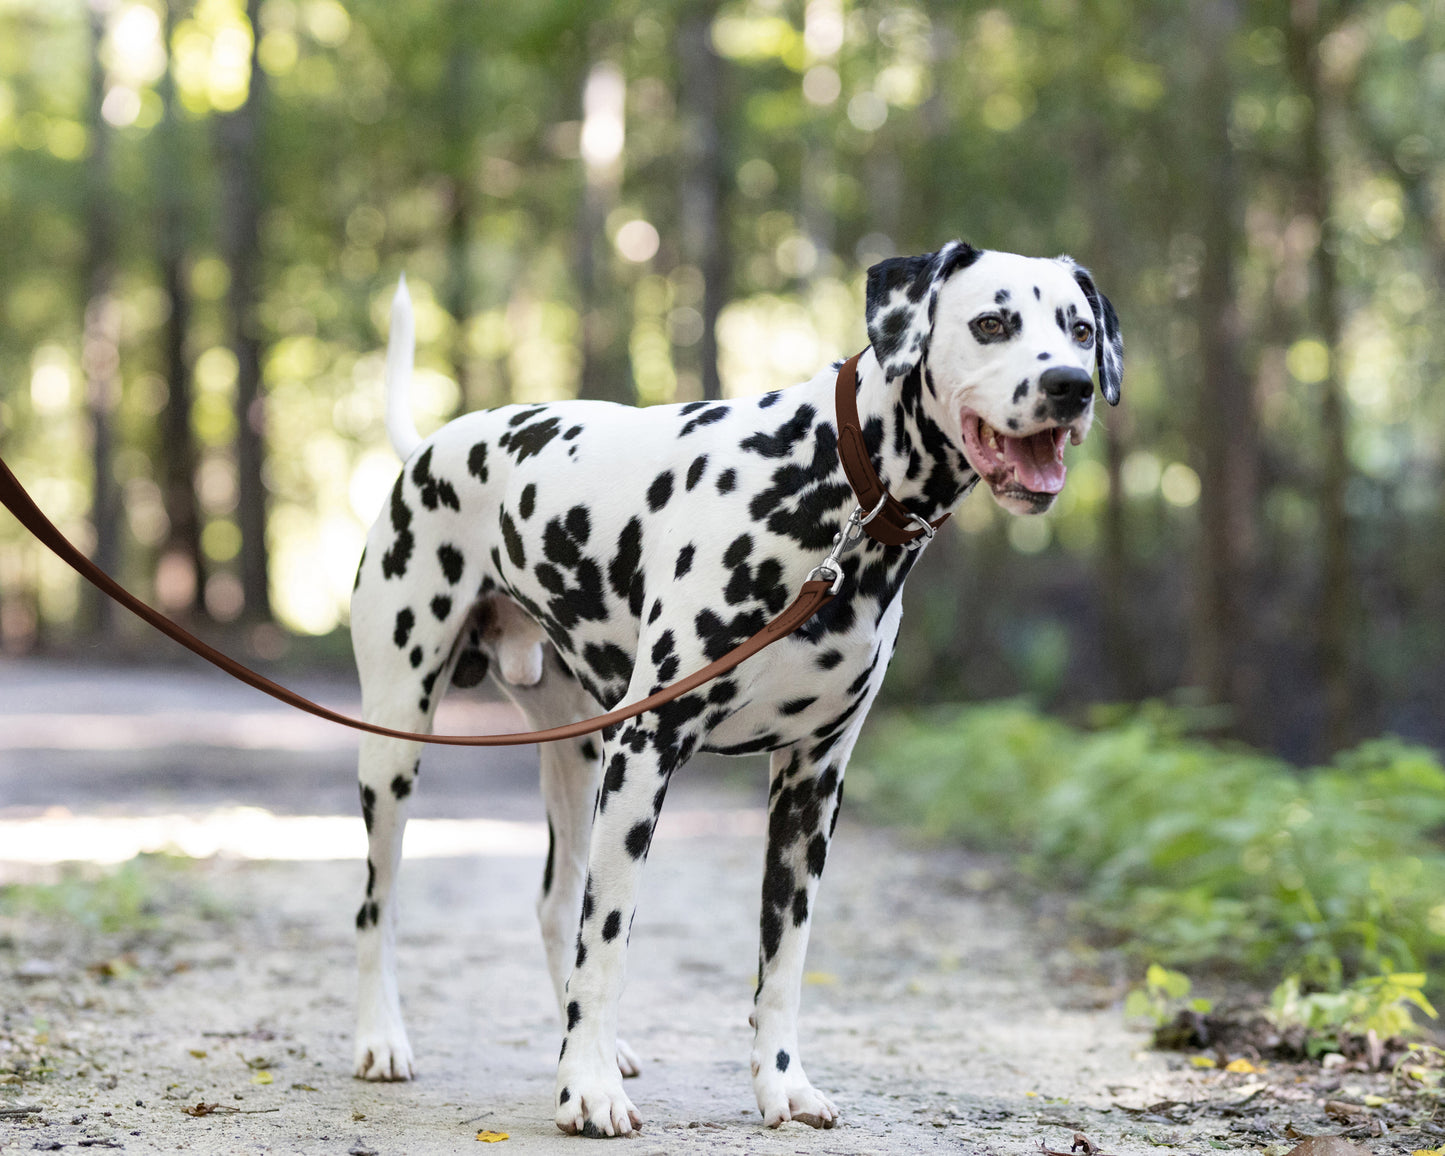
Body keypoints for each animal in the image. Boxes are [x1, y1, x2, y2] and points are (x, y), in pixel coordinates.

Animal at [346, 239, 1115, 1132]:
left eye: (1079, 329)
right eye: (991, 322)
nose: (1070, 385)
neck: (833, 488)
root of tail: (430, 447)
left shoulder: (810, 786)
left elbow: (782, 961)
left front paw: (780, 1084)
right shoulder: (646, 754)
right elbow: (609, 939)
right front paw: (587, 1091)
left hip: (575, 757)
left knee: (554, 904)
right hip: (397, 748)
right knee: (379, 905)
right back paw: (383, 1040)